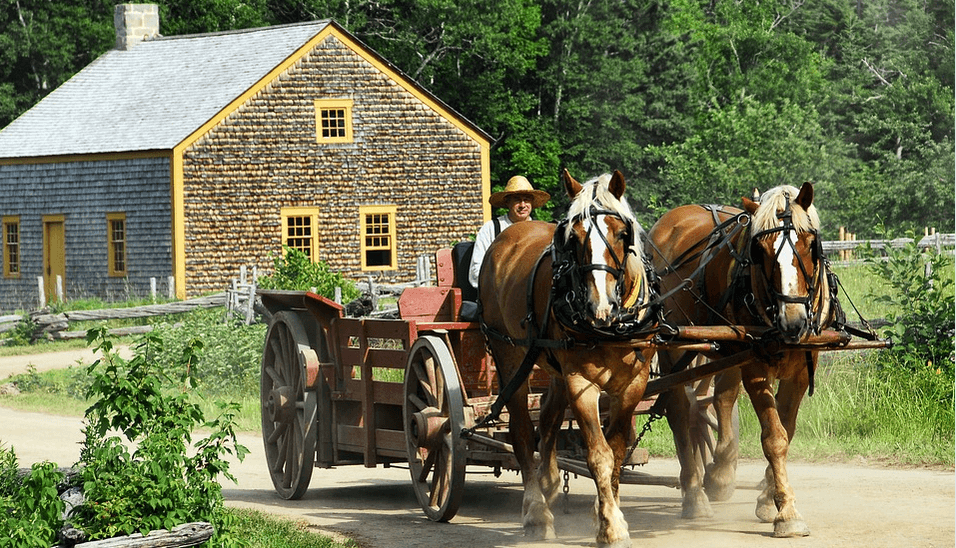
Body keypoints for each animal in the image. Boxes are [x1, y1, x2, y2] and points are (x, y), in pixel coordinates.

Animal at [478, 169, 656, 544]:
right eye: (573, 238)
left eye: (623, 234)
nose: (600, 306)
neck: (610, 327)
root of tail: (510, 235)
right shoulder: (581, 383)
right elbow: (600, 456)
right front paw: (612, 526)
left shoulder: (633, 385)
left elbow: (618, 452)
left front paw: (606, 513)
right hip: (510, 354)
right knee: (520, 430)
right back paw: (536, 510)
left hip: (553, 365)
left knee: (547, 419)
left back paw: (549, 482)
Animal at [648, 184, 840, 540]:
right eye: (760, 250)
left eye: (810, 244)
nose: (793, 321)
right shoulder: (754, 366)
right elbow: (774, 437)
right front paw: (787, 513)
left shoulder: (799, 371)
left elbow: (786, 429)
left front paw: (768, 498)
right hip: (676, 346)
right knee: (680, 410)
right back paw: (695, 494)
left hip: (726, 351)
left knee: (720, 399)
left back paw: (719, 472)